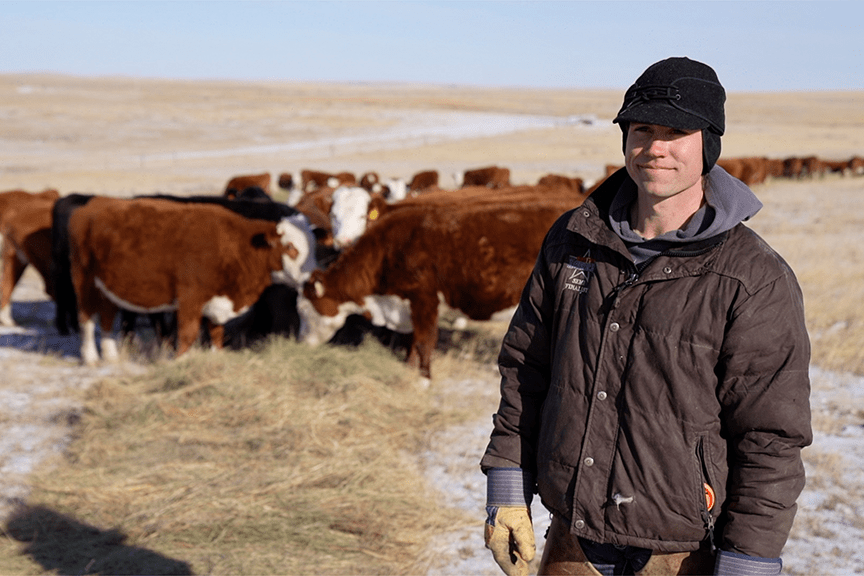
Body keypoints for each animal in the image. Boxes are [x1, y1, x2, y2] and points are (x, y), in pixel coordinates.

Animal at [68, 196, 310, 362]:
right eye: (290, 247)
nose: (309, 278)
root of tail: (95, 203)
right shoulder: (190, 298)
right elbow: (188, 334)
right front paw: (181, 362)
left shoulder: (216, 301)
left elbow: (216, 333)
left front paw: (215, 357)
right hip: (85, 282)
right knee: (86, 319)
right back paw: (90, 358)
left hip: (107, 289)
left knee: (107, 318)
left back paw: (110, 357)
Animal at [298, 198, 580, 378]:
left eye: (304, 311)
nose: (301, 342)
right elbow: (412, 341)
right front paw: (410, 370)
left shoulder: (424, 299)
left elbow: (424, 341)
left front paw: (423, 379)